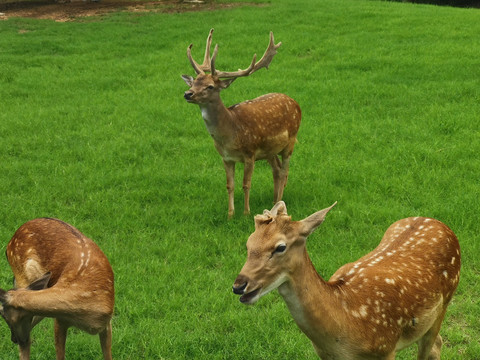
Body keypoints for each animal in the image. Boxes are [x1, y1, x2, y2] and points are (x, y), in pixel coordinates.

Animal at [0, 217, 114, 360]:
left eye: (2, 314)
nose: (14, 339)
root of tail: (9, 243)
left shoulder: (107, 323)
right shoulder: (59, 319)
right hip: (24, 278)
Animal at [182, 28, 302, 217]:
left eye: (210, 86)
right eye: (193, 83)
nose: (188, 94)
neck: (229, 135)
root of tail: (296, 103)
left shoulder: (250, 153)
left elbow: (246, 184)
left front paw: (246, 213)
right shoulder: (226, 157)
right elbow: (229, 185)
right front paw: (230, 214)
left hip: (291, 140)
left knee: (284, 171)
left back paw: (279, 203)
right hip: (269, 150)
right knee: (276, 170)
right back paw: (274, 202)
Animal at [232, 201, 462, 358]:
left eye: (280, 247)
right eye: (248, 244)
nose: (239, 286)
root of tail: (438, 222)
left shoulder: (386, 347)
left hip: (445, 302)